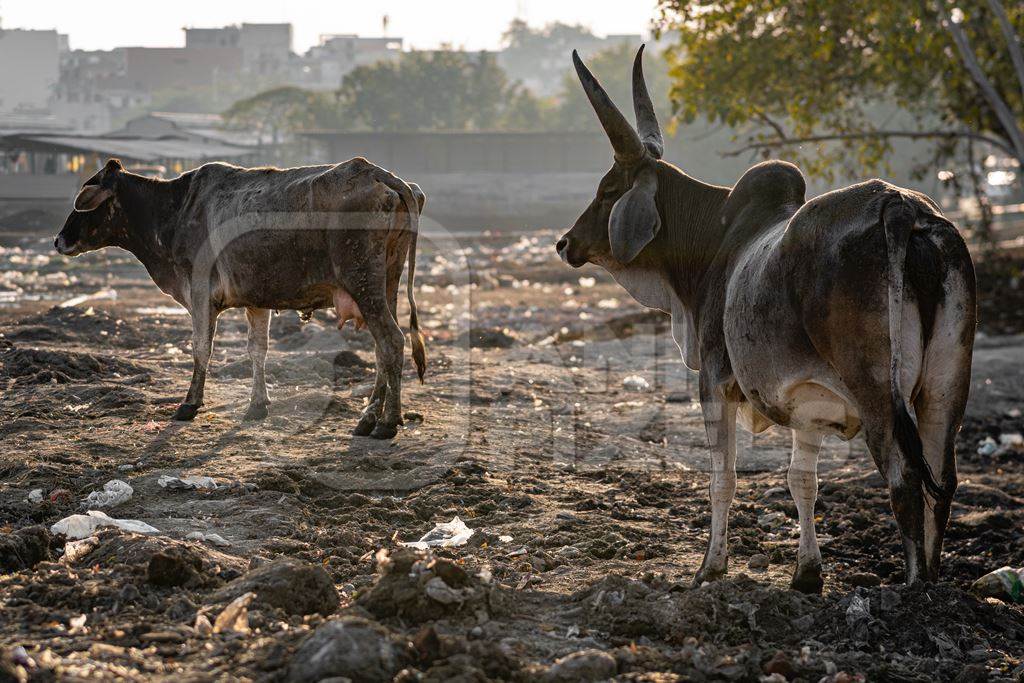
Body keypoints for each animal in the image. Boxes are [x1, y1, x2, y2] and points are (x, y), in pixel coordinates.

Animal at [57, 157, 423, 440]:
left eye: (84, 200)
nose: (58, 240)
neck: (174, 209)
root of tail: (377, 173)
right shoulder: (257, 299)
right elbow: (257, 349)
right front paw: (257, 404)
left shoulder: (200, 292)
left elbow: (201, 348)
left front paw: (190, 403)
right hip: (386, 285)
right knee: (382, 349)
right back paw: (368, 419)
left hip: (364, 284)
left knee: (391, 341)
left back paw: (387, 422)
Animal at [557, 45, 978, 589]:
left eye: (608, 188)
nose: (566, 242)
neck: (716, 239)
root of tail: (900, 207)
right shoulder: (810, 398)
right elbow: (803, 481)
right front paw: (807, 574)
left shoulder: (715, 381)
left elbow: (724, 479)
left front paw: (709, 567)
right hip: (946, 388)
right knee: (942, 480)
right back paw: (932, 579)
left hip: (879, 394)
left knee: (904, 480)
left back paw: (912, 588)